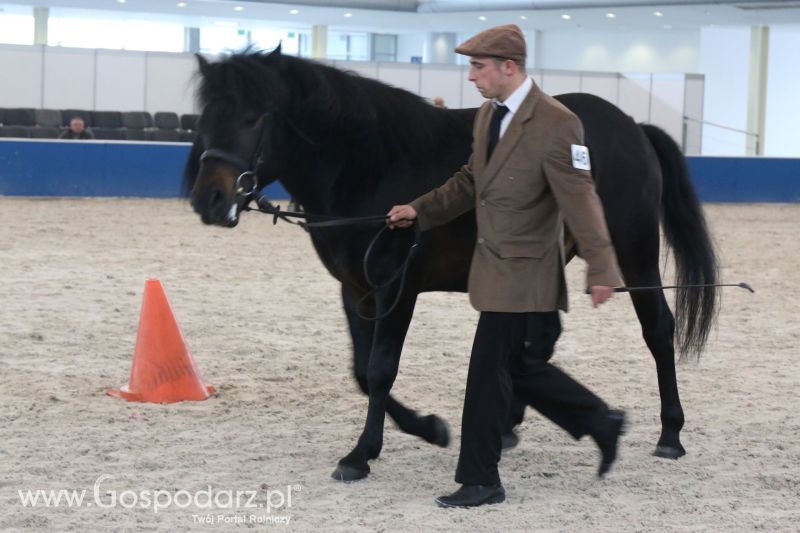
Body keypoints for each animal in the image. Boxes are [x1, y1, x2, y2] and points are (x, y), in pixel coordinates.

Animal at [183, 48, 720, 482]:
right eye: (206, 115)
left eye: (255, 116)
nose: (210, 200)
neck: (370, 162)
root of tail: (634, 127)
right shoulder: (355, 290)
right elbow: (361, 371)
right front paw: (428, 429)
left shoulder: (396, 288)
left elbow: (380, 369)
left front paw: (364, 454)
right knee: (541, 338)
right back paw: (510, 425)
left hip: (634, 251)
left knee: (658, 328)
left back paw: (670, 434)